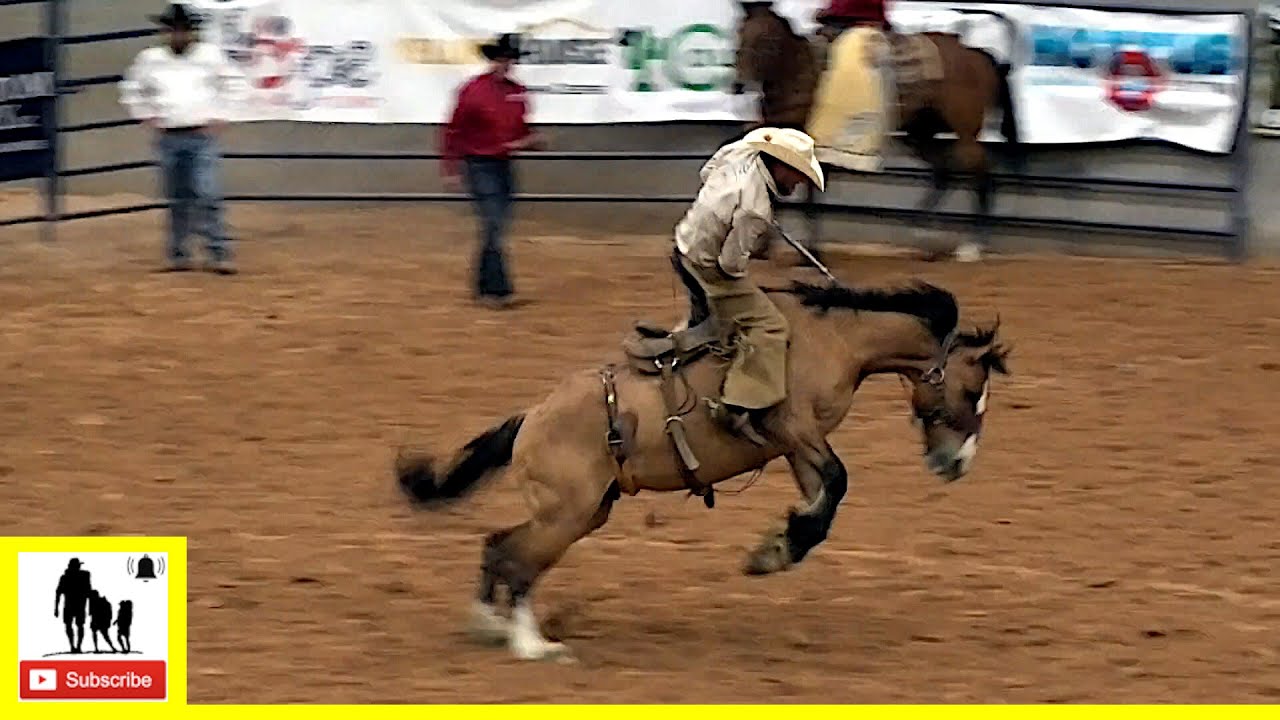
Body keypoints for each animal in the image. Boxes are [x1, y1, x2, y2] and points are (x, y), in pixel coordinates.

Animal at [391, 275, 1008, 661]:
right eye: (970, 390)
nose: (958, 464)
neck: (829, 339)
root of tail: (531, 419)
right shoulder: (794, 427)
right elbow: (838, 482)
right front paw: (776, 550)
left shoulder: (797, 444)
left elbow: (823, 496)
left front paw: (777, 548)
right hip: (565, 515)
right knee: (517, 561)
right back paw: (532, 645)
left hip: (584, 512)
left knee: (499, 545)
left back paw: (491, 626)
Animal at [737, 4, 1024, 257]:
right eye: (741, 33)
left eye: (767, 40)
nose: (739, 84)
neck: (799, 72)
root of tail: (979, 55)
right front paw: (763, 246)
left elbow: (807, 192)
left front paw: (808, 250)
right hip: (920, 132)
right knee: (942, 172)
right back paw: (923, 234)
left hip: (965, 133)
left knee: (981, 175)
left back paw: (973, 246)